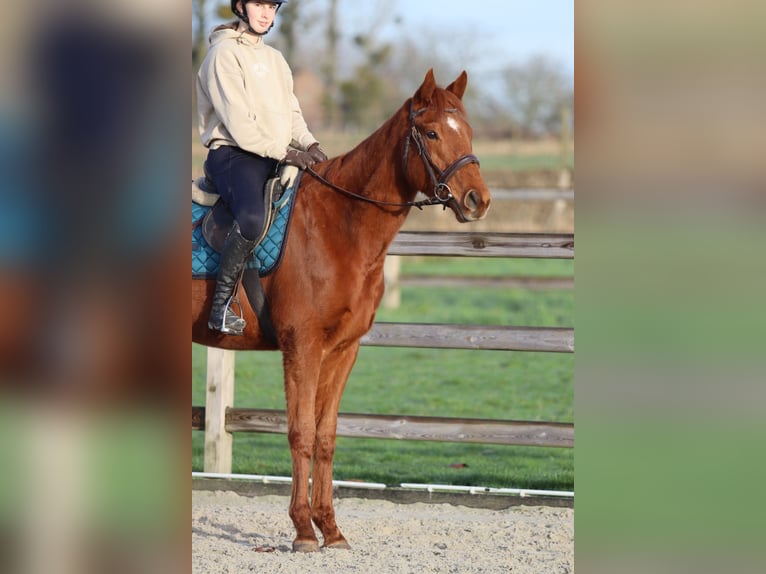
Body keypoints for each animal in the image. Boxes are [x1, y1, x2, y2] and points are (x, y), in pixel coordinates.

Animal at [191, 69, 491, 552]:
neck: (338, 224)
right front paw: (301, 530)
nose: (476, 200)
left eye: (466, 130)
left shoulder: (342, 350)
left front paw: (330, 529)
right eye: (430, 133)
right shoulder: (302, 346)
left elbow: (326, 435)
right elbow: (301, 432)